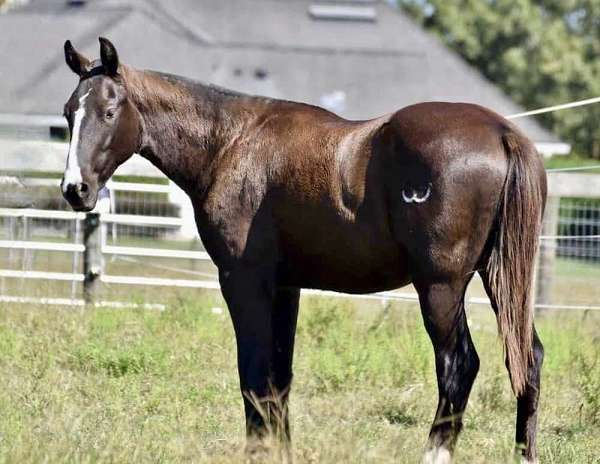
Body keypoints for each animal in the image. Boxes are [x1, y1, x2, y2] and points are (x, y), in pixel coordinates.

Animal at [59, 38, 544, 462]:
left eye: (108, 111)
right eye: (68, 114)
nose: (74, 189)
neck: (230, 143)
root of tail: (503, 133)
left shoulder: (244, 282)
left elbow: (254, 376)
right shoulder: (285, 287)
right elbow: (279, 379)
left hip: (440, 288)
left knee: (459, 366)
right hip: (500, 280)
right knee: (528, 358)